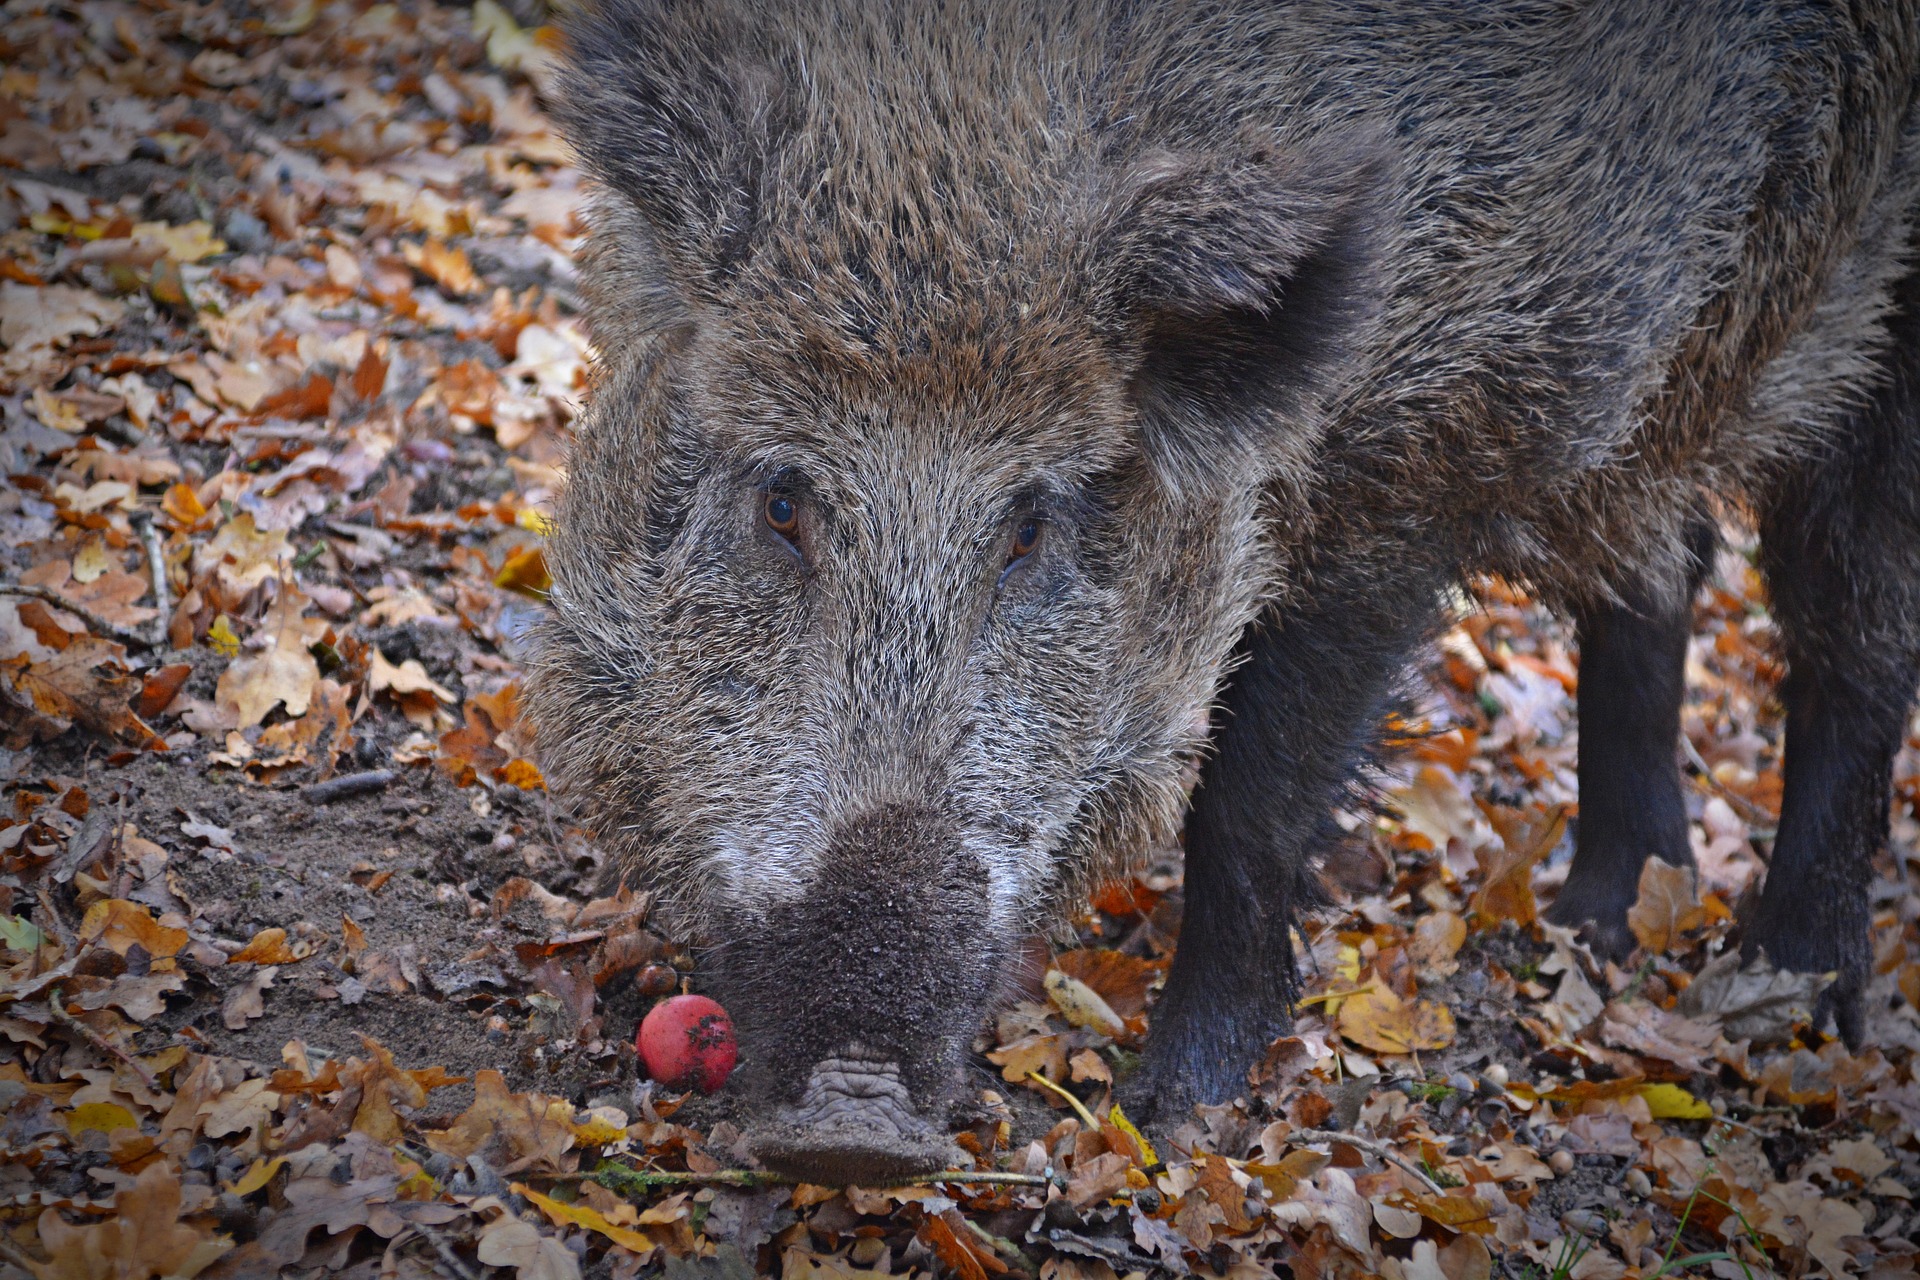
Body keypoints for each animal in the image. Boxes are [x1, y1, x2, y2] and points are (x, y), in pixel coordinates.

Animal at [526, 0, 1920, 1179]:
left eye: (1031, 521)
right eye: (782, 501)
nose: (851, 1123)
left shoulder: (1414, 474)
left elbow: (1251, 804)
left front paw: (1173, 1107)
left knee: (1850, 631)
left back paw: (1796, 1006)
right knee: (1660, 564)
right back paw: (1601, 922)